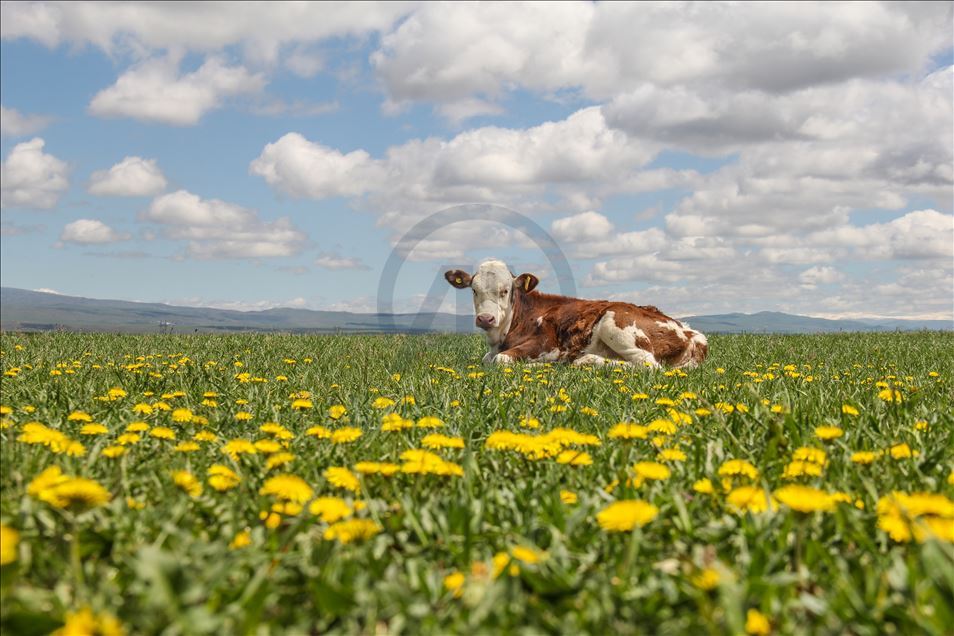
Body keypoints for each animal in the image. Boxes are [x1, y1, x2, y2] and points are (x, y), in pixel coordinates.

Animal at [442, 258, 704, 368]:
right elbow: (487, 359)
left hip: (615, 321)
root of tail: (691, 333)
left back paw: (585, 361)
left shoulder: (548, 345)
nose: (485, 318)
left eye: (505, 290)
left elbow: (501, 360)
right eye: (474, 290)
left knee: (648, 364)